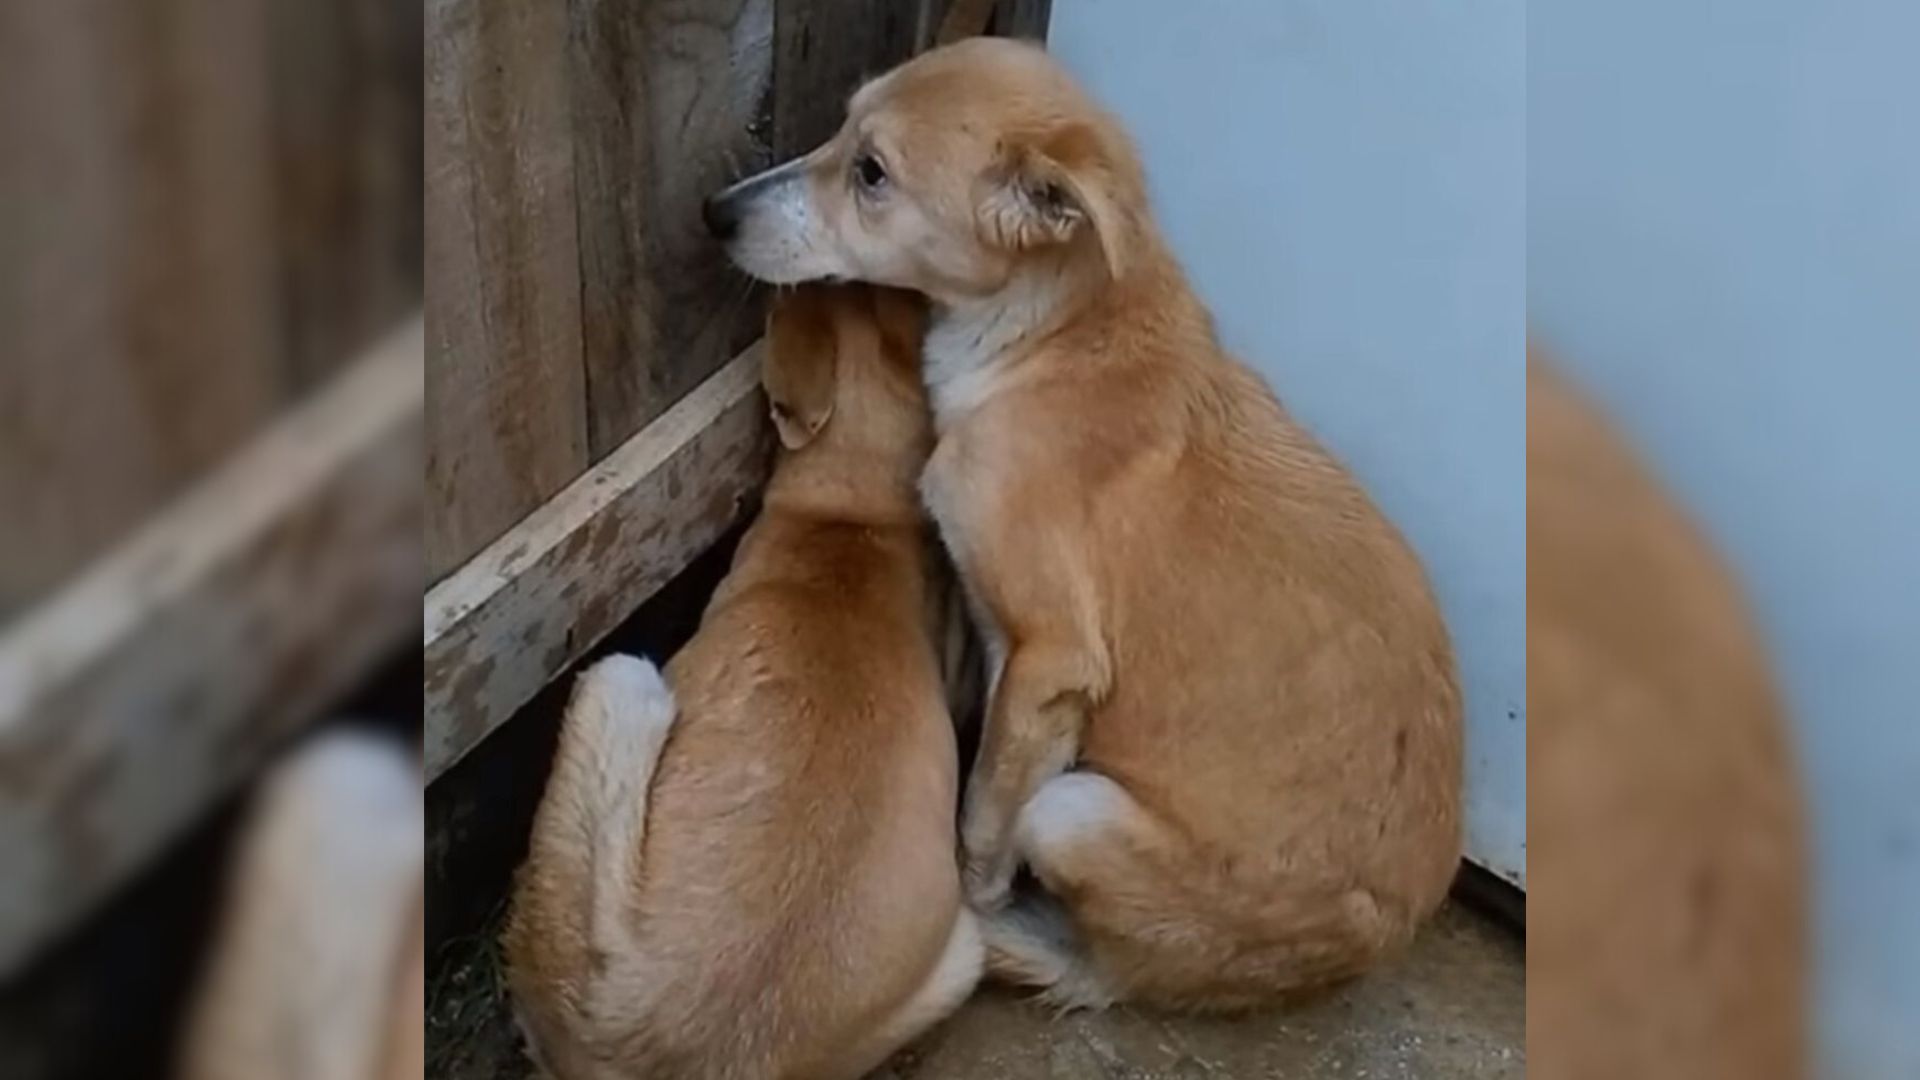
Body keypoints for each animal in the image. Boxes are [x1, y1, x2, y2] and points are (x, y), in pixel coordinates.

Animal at [710, 35, 1466, 1006]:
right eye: (841, 127)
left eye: (872, 173)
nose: (714, 214)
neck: (1047, 343)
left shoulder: (1049, 659)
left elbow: (983, 814)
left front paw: (971, 896)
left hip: (1071, 810)